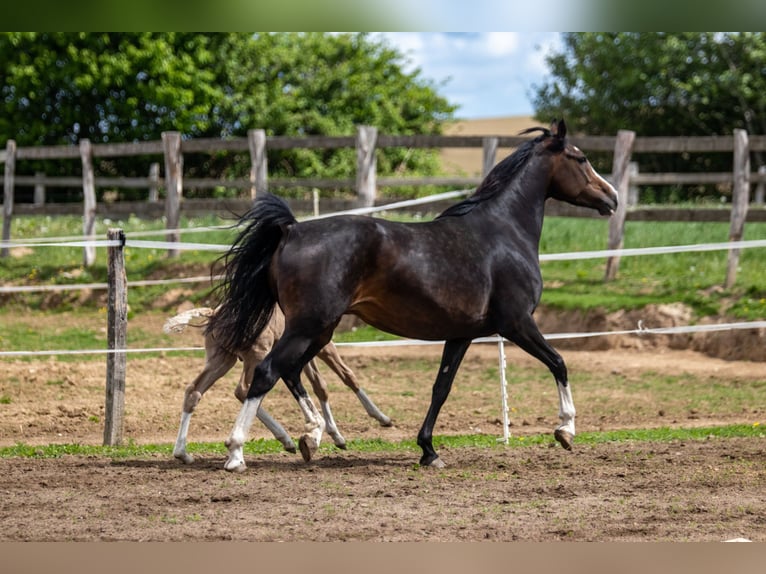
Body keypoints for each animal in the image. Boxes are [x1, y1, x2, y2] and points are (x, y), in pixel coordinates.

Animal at [208, 120, 616, 472]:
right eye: (581, 158)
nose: (611, 198)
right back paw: (237, 453)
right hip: (309, 327)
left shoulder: (461, 334)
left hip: (319, 330)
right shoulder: (517, 323)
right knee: (267, 373)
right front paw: (566, 430)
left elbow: (441, 388)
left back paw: (312, 437)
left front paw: (429, 450)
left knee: (290, 373)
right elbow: (559, 363)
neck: (504, 233)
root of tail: (291, 230)